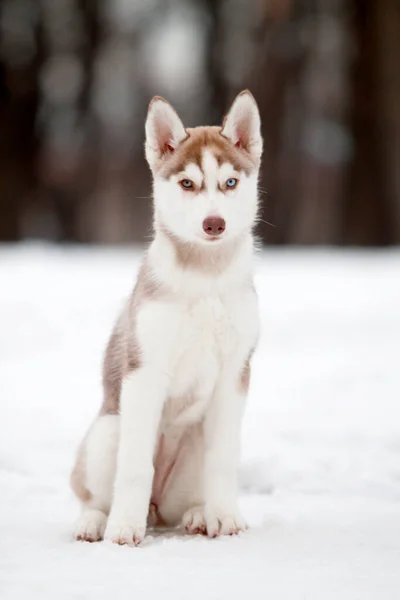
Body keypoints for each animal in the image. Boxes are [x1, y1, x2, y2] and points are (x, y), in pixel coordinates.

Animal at [70, 89, 264, 544]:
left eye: (230, 182)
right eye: (188, 183)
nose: (214, 224)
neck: (206, 278)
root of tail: (156, 510)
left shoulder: (235, 375)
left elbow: (222, 459)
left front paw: (225, 518)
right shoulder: (145, 372)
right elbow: (136, 467)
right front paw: (123, 529)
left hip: (190, 452)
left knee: (184, 500)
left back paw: (198, 515)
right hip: (107, 431)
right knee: (94, 493)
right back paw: (96, 521)